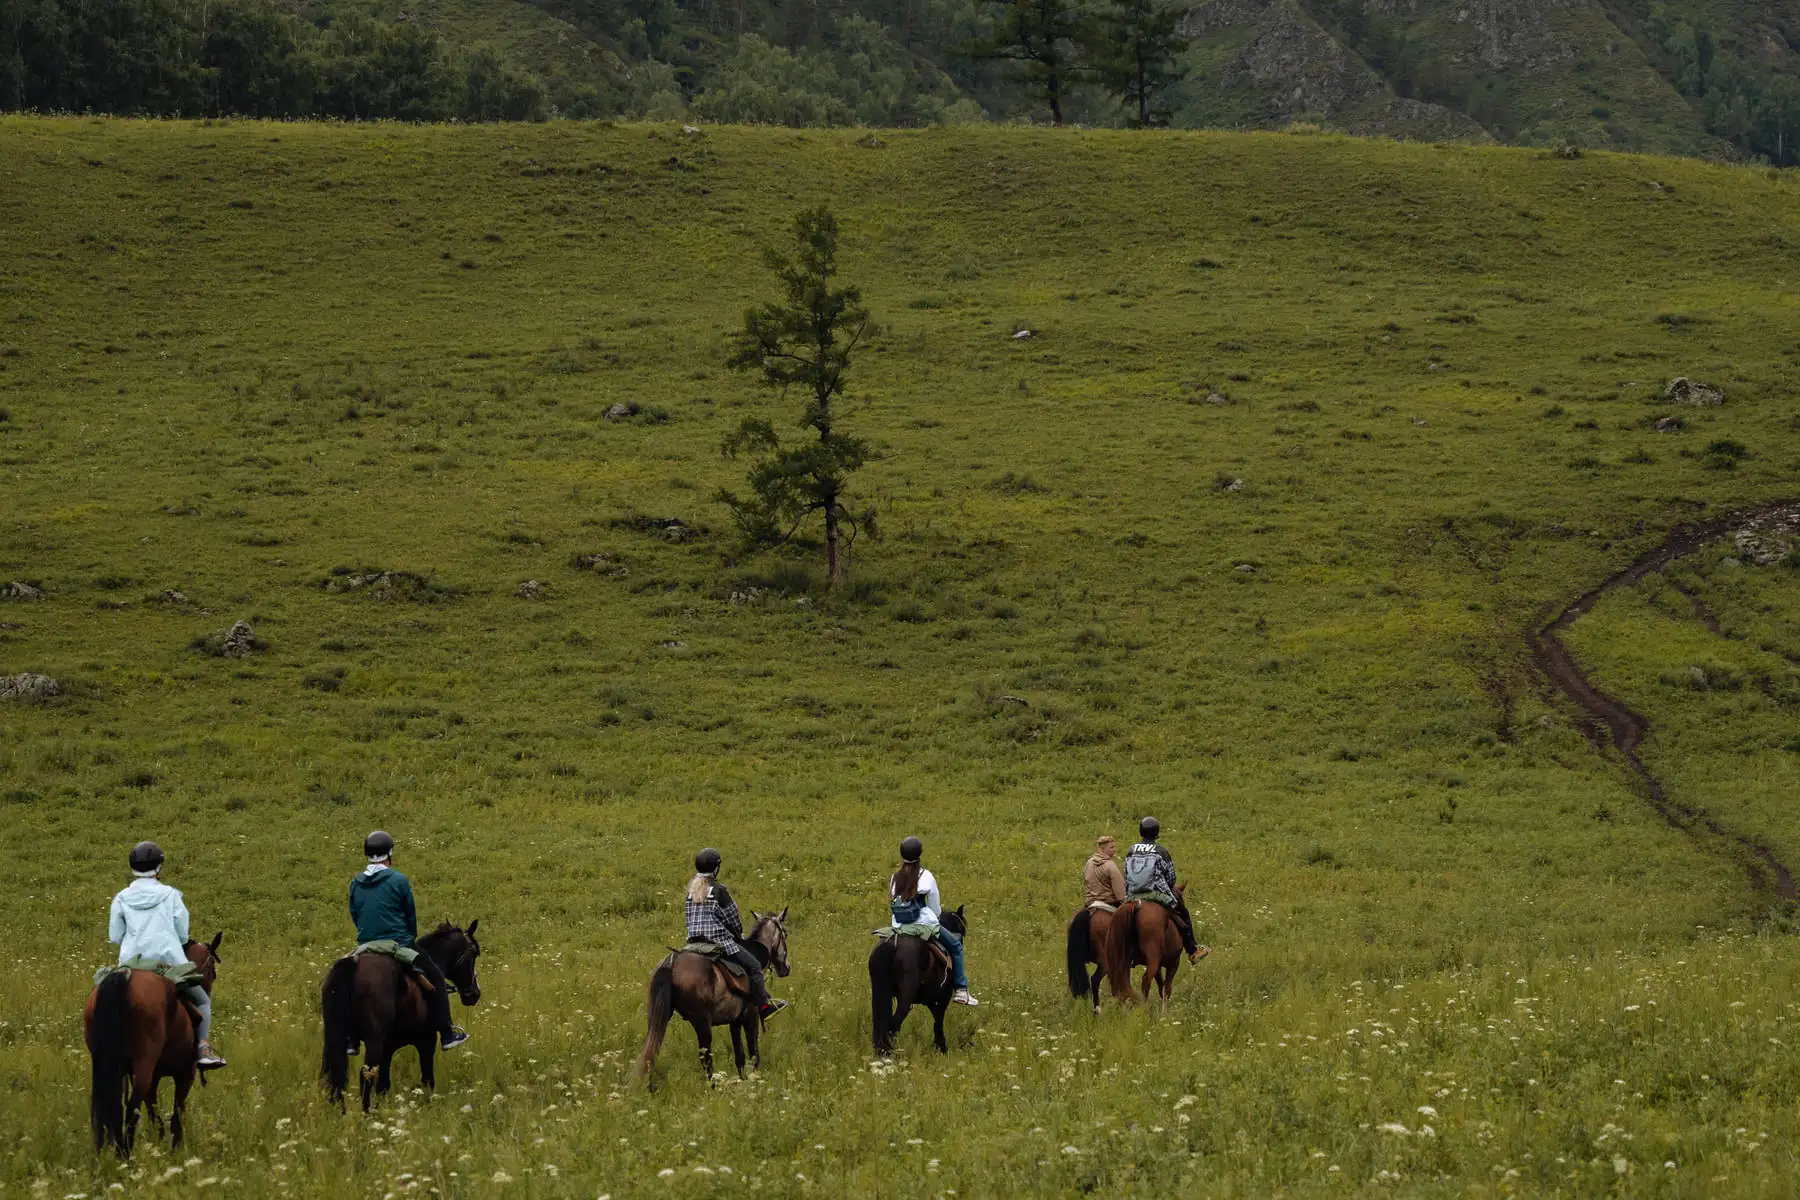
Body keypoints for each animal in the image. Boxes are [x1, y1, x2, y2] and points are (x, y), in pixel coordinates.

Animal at [85, 935, 225, 1158]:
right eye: (212, 966)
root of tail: (124, 977)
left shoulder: (155, 1076)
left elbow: (154, 1116)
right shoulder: (186, 1072)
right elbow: (177, 1114)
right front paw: (175, 1150)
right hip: (144, 1065)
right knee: (131, 1110)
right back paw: (126, 1156)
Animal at [320, 921, 482, 1115]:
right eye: (474, 954)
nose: (474, 993)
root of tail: (352, 964)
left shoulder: (388, 1048)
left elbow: (383, 1085)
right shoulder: (426, 1040)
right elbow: (427, 1078)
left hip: (335, 1036)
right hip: (374, 1041)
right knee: (365, 1074)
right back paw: (367, 1114)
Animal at [640, 910, 795, 1086]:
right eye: (785, 933)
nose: (786, 968)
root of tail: (671, 963)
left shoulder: (735, 1021)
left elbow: (739, 1057)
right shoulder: (751, 1017)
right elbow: (754, 1054)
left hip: (658, 1018)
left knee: (651, 1053)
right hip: (702, 1023)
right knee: (706, 1059)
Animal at [871, 906, 972, 1057]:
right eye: (962, 927)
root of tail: (892, 945)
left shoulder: (929, 998)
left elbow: (936, 1016)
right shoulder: (944, 995)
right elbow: (939, 1019)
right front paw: (942, 1048)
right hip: (905, 998)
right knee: (893, 1025)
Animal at [1101, 881, 1188, 1014]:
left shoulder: (1159, 966)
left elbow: (1161, 986)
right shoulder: (1173, 962)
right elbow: (1167, 988)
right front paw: (1165, 1013)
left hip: (1124, 961)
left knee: (1123, 984)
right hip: (1152, 959)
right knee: (1145, 980)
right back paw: (1143, 1009)